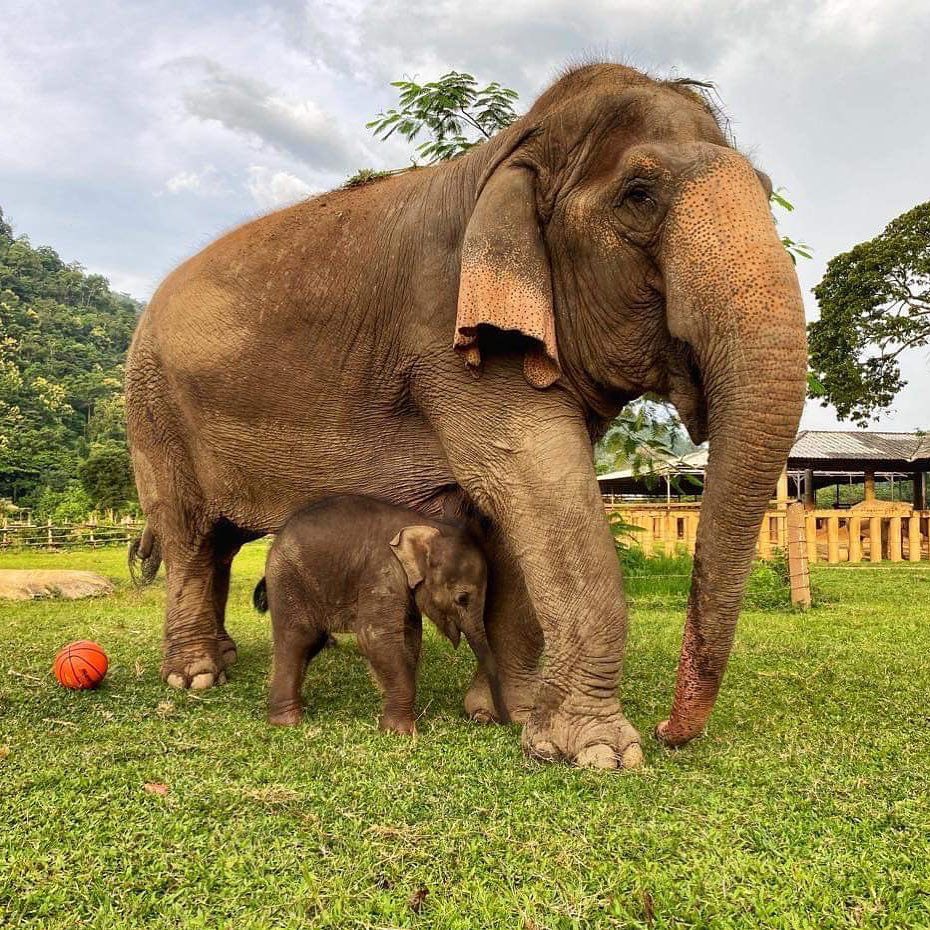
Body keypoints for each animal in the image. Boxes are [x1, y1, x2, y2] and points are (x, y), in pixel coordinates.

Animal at [253, 494, 506, 733]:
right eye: (462, 599)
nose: (499, 720)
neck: (426, 524)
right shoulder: (383, 571)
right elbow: (375, 636)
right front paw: (400, 731)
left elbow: (410, 638)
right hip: (288, 579)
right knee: (298, 638)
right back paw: (287, 722)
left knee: (312, 642)